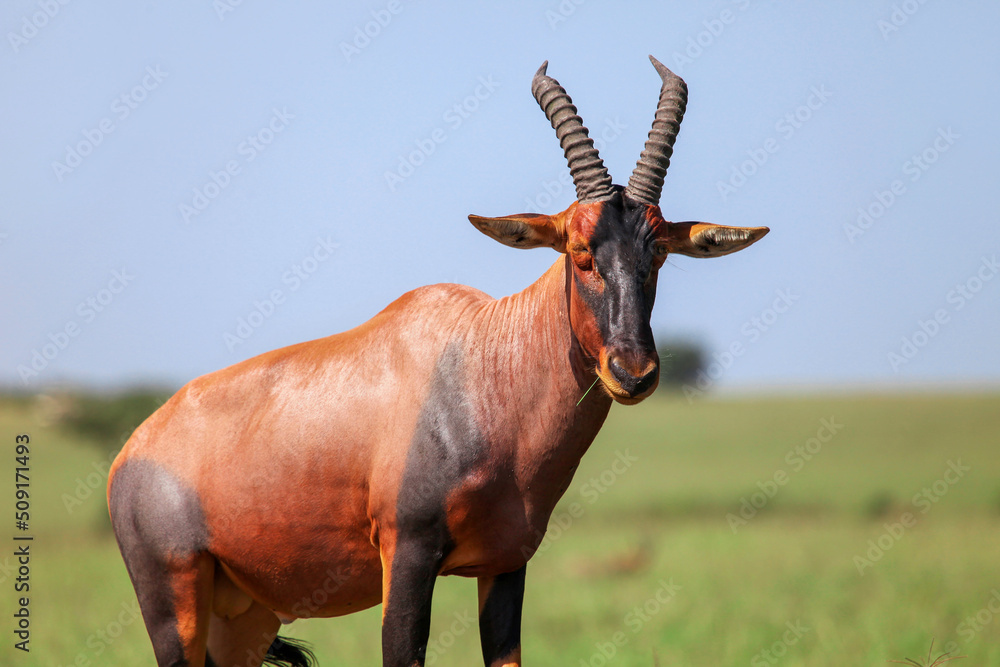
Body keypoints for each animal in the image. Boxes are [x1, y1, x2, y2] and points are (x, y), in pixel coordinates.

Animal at [108, 56, 768, 667]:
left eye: (658, 253)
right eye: (580, 251)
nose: (635, 373)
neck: (481, 365)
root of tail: (132, 450)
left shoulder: (505, 564)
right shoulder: (407, 555)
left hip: (245, 613)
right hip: (174, 602)